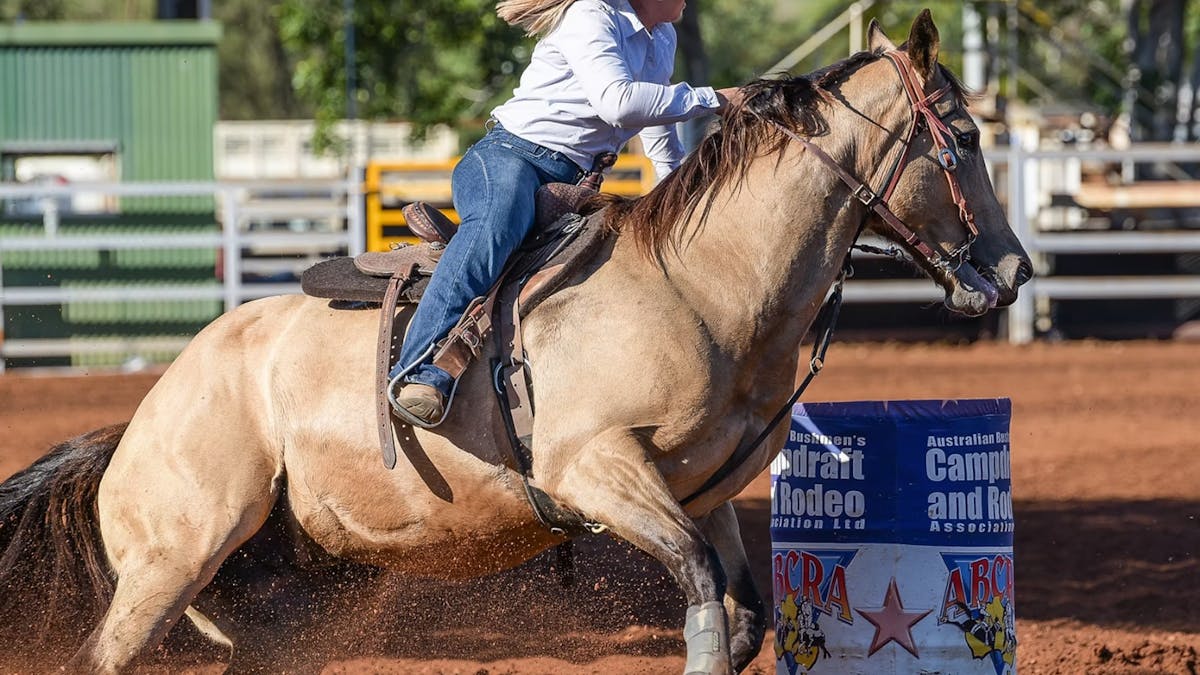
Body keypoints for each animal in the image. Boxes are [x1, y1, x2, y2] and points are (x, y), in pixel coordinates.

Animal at [0, 11, 1030, 674]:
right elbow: (703, 595)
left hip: (290, 599)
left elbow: (741, 618)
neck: (700, 286)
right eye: (965, 133)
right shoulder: (597, 471)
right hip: (172, 561)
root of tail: (134, 427)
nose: (1016, 270)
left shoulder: (707, 492)